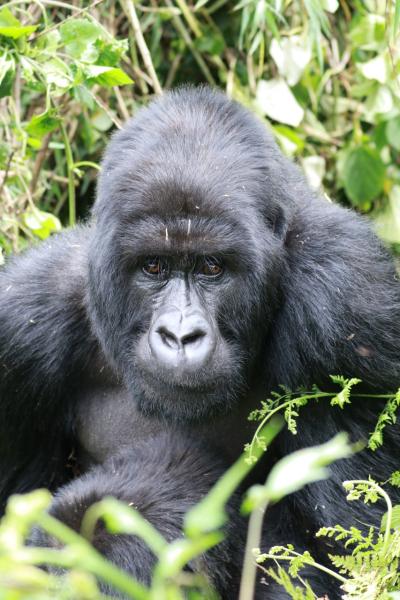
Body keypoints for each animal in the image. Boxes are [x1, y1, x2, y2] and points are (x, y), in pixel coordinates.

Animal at [0, 85, 400, 600]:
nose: (180, 334)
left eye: (212, 267)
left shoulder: (351, 303)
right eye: (153, 266)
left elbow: (351, 559)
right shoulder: (20, 326)